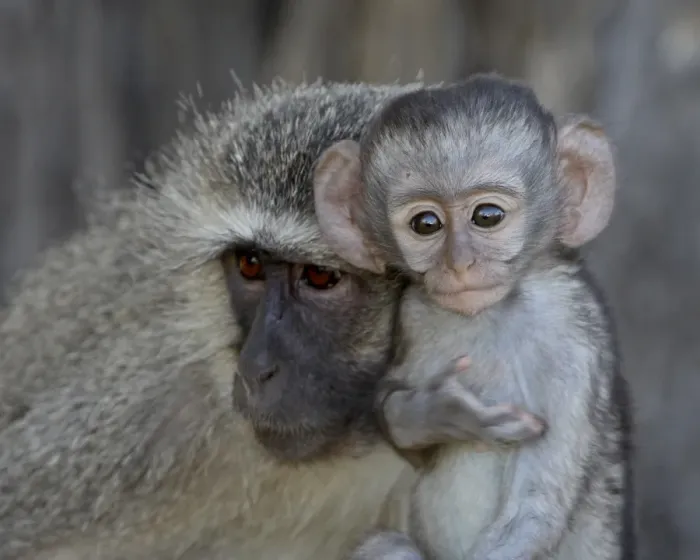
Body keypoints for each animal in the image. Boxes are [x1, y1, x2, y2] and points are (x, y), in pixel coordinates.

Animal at [313, 75, 635, 560]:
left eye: (487, 216)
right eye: (426, 224)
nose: (459, 263)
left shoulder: (571, 334)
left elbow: (535, 512)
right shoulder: (413, 315)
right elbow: (388, 403)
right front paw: (440, 412)